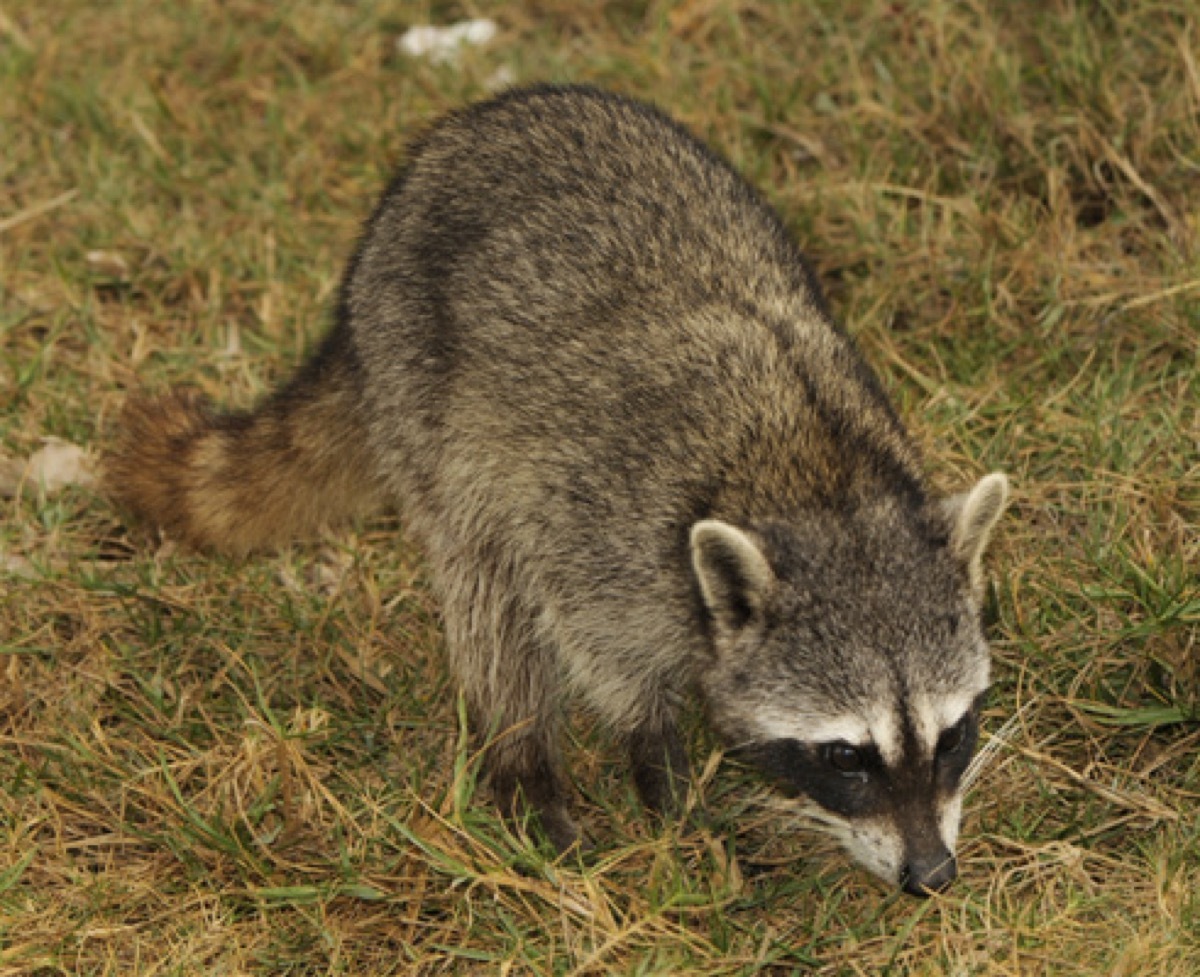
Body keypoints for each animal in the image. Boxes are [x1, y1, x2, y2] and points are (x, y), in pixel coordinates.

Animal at [106, 85, 1009, 896]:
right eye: (847, 755)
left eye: (951, 735)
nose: (933, 875)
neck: (820, 485)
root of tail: (467, 129)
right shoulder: (601, 529)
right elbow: (605, 658)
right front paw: (663, 781)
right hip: (425, 391)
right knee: (486, 591)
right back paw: (523, 760)